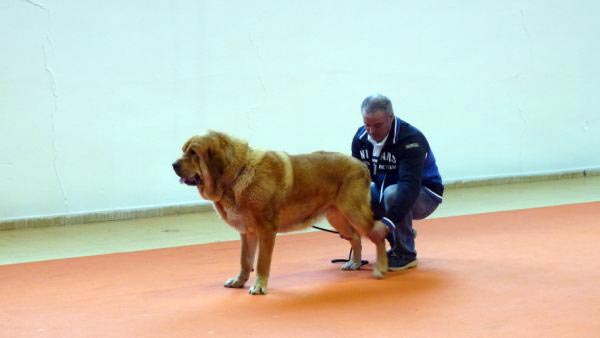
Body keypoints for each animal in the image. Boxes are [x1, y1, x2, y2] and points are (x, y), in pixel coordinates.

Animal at [172, 131, 390, 294]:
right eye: (183, 151)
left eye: (193, 152)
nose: (173, 165)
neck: (238, 173)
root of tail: (361, 164)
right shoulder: (247, 233)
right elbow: (245, 261)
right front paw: (239, 281)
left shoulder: (266, 231)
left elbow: (261, 262)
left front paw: (259, 286)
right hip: (337, 218)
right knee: (356, 237)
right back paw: (355, 263)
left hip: (355, 213)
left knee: (379, 232)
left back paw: (381, 268)